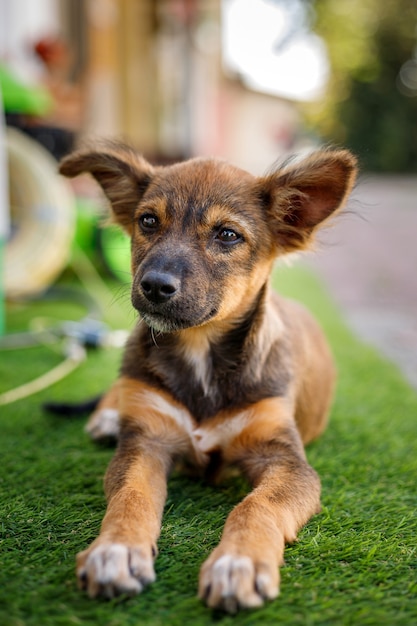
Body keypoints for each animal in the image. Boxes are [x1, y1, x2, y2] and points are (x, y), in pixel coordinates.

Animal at [60, 143, 356, 608]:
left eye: (228, 235)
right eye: (148, 221)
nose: (154, 286)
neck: (201, 354)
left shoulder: (286, 460)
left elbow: (258, 505)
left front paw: (238, 563)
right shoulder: (146, 441)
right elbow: (131, 495)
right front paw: (116, 551)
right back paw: (106, 417)